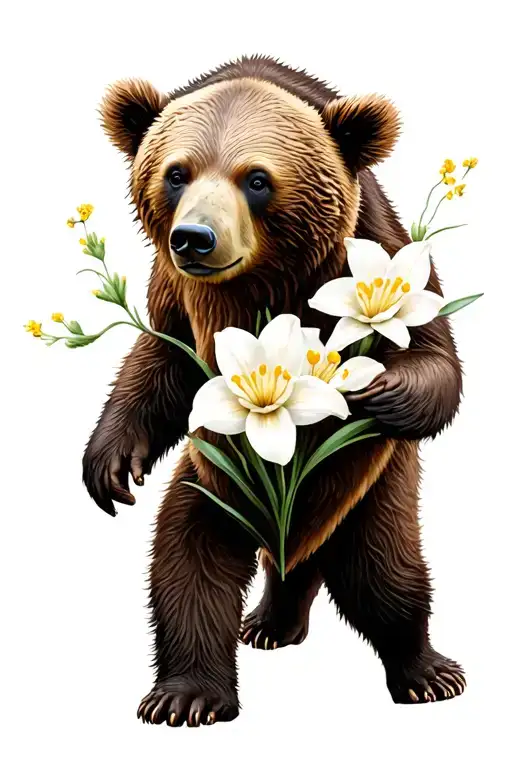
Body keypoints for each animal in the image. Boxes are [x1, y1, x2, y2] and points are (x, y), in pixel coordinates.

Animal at [83, 55, 466, 727]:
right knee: (190, 562)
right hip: (217, 482)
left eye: (257, 179)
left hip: (372, 490)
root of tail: (288, 532)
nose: (194, 238)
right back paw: (196, 684)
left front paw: (380, 389)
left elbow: (433, 353)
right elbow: (158, 367)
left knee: (385, 574)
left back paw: (426, 672)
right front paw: (110, 464)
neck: (260, 282)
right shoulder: (179, 299)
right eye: (176, 173)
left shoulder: (371, 248)